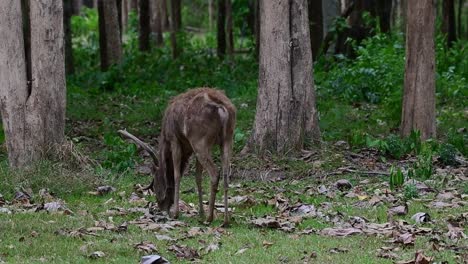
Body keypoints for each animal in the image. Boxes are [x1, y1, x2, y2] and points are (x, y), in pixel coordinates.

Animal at [119, 87, 238, 226]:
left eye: (155, 185)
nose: (162, 206)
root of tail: (222, 109)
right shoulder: (190, 147)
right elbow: (198, 178)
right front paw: (200, 213)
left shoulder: (174, 139)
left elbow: (177, 175)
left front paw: (175, 213)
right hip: (228, 138)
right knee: (226, 174)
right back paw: (225, 220)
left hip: (200, 140)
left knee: (215, 173)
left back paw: (209, 218)